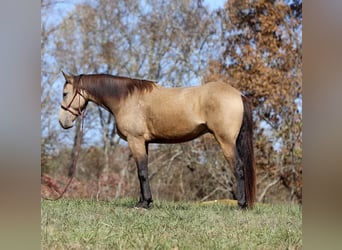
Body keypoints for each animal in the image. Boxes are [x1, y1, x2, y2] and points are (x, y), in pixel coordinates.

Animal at [58, 72, 255, 209]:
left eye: (65, 93)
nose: (62, 122)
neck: (126, 99)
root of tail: (239, 95)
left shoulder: (135, 140)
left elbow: (142, 172)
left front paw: (144, 203)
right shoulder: (143, 143)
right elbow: (143, 171)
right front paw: (143, 201)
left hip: (226, 141)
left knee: (238, 168)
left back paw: (241, 204)